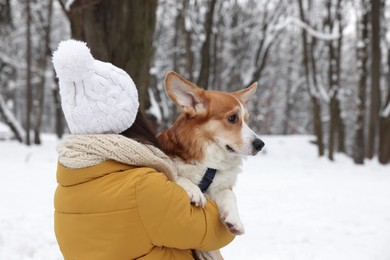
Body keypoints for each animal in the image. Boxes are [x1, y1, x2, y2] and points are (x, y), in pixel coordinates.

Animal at [157, 70, 264, 238]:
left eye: (246, 120)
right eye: (232, 118)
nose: (260, 144)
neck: (208, 163)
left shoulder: (220, 187)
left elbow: (229, 194)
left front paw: (235, 219)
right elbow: (177, 175)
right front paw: (194, 190)